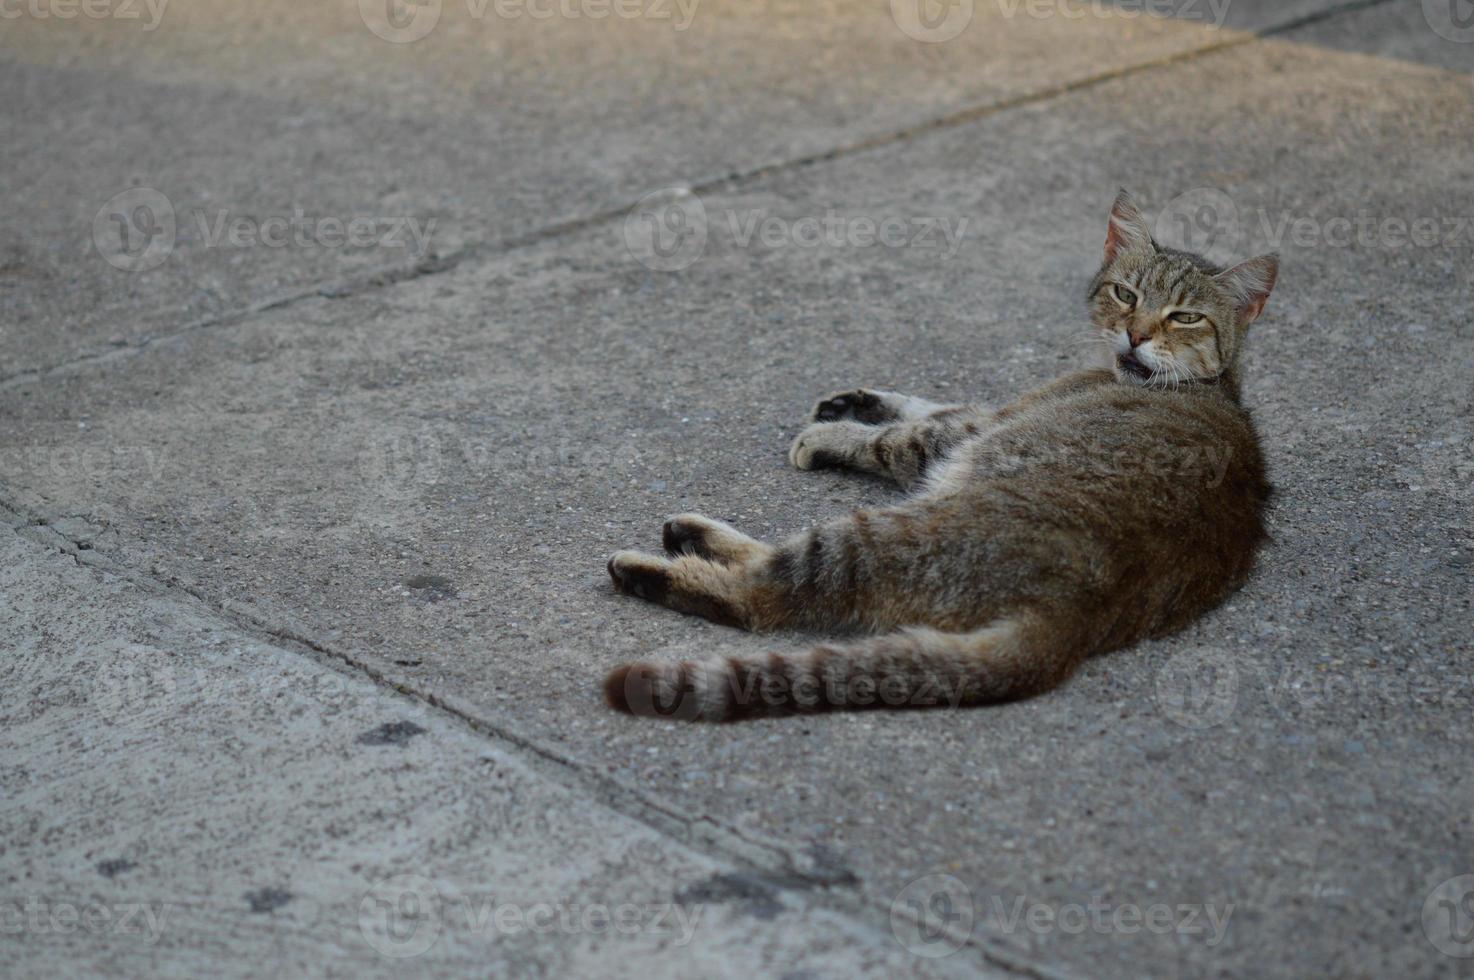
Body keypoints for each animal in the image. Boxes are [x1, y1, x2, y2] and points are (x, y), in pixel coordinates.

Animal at [601, 191, 1279, 719]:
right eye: (1125, 293)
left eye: (1184, 317)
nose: (1135, 335)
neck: (1212, 384)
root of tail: (1078, 613)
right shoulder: (986, 413)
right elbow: (929, 402)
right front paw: (858, 400)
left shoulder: (967, 432)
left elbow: (903, 434)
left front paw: (833, 436)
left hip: (878, 534)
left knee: (767, 596)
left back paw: (655, 562)